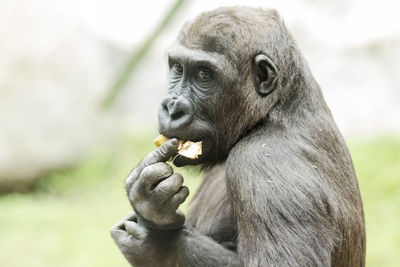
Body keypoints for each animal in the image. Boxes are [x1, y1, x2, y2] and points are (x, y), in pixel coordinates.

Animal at [109, 6, 366, 267]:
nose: (172, 108)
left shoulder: (263, 162)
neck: (278, 107)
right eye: (178, 68)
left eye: (204, 74)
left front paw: (160, 239)